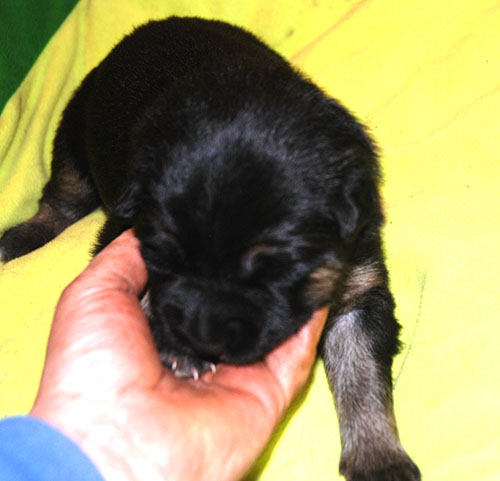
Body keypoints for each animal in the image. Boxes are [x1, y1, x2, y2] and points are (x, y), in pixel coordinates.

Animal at [0, 17, 420, 480]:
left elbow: (362, 375)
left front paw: (379, 458)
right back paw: (18, 239)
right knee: (61, 197)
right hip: (74, 128)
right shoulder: (123, 228)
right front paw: (175, 348)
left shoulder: (359, 283)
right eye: (166, 256)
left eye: (274, 268)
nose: (205, 340)